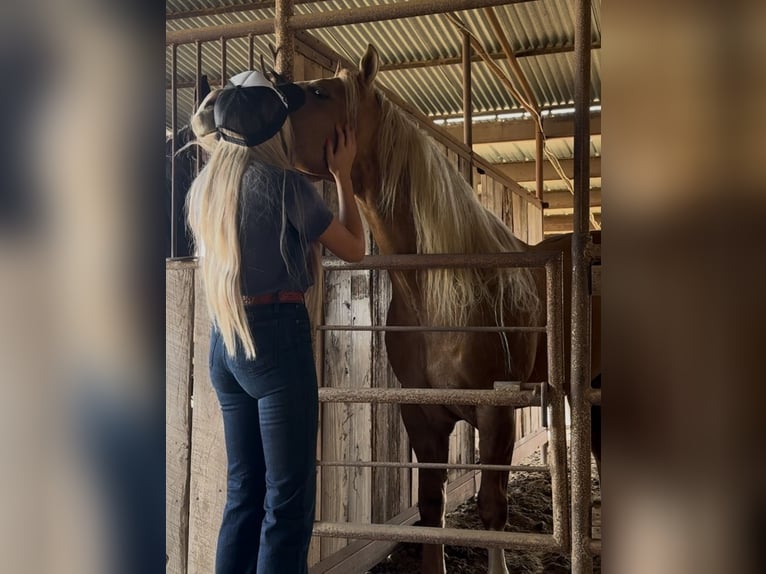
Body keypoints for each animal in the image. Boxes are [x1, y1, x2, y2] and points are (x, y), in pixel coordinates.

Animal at [286, 46, 600, 574]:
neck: (437, 295)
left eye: (319, 92)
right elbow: (432, 508)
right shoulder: (420, 413)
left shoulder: (497, 414)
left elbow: (493, 507)